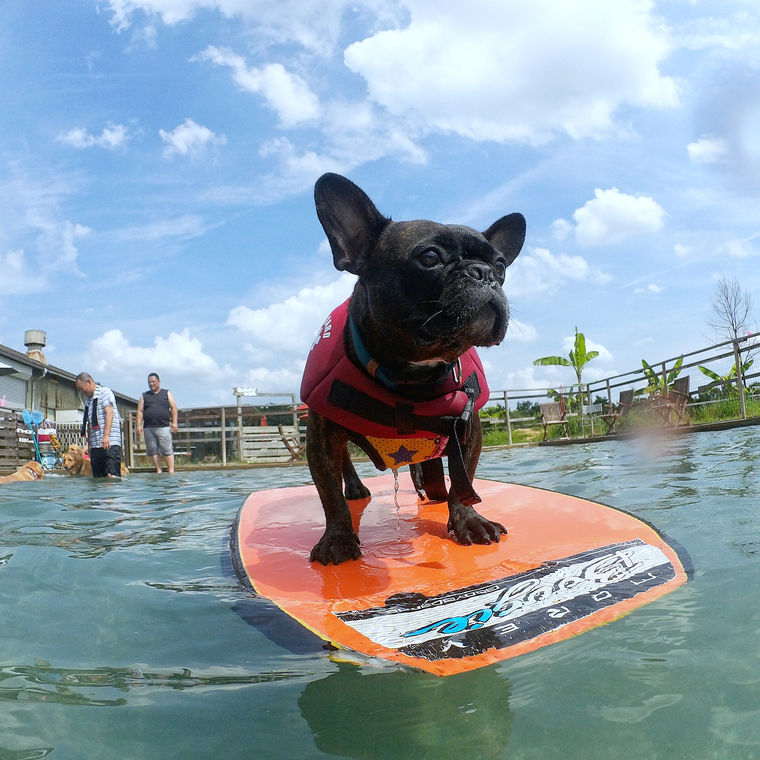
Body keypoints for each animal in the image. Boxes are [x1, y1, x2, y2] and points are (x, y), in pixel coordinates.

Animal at [300, 174, 524, 564]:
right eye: (430, 257)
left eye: (500, 265)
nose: (484, 273)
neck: (413, 374)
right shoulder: (320, 432)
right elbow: (328, 491)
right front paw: (338, 538)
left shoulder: (469, 428)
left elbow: (464, 480)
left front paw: (468, 521)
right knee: (344, 463)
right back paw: (356, 489)